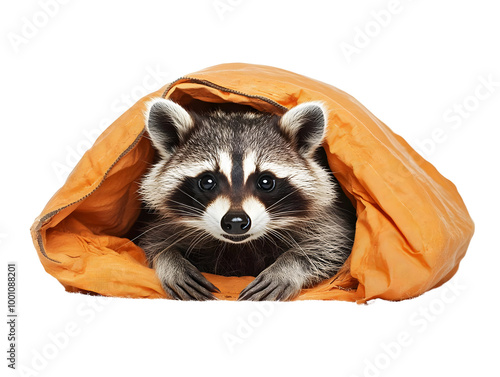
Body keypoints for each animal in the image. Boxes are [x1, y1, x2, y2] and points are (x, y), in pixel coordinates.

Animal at [137, 98, 356, 302]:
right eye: (207, 181)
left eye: (266, 181)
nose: (235, 221)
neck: (239, 245)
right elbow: (153, 243)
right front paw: (170, 259)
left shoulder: (326, 220)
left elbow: (332, 245)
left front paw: (287, 266)